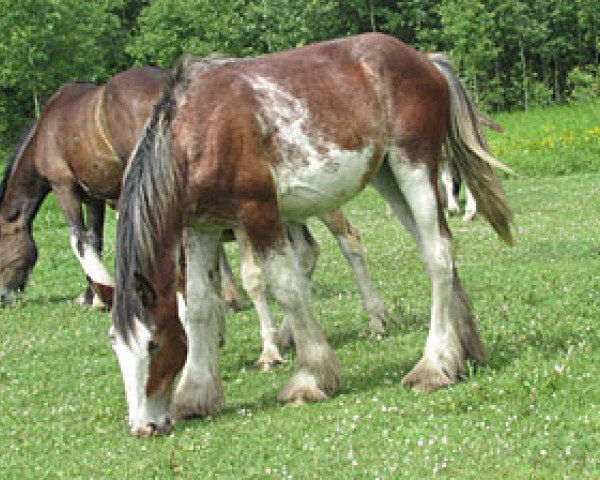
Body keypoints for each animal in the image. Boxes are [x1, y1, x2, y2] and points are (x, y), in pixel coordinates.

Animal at [109, 33, 510, 436]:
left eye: (153, 344)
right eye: (116, 346)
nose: (144, 427)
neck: (198, 131)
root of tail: (424, 60)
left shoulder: (258, 213)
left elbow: (287, 290)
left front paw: (309, 378)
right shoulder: (200, 229)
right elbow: (200, 307)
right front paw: (196, 395)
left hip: (413, 166)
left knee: (438, 254)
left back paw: (433, 366)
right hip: (388, 177)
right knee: (436, 251)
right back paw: (461, 354)